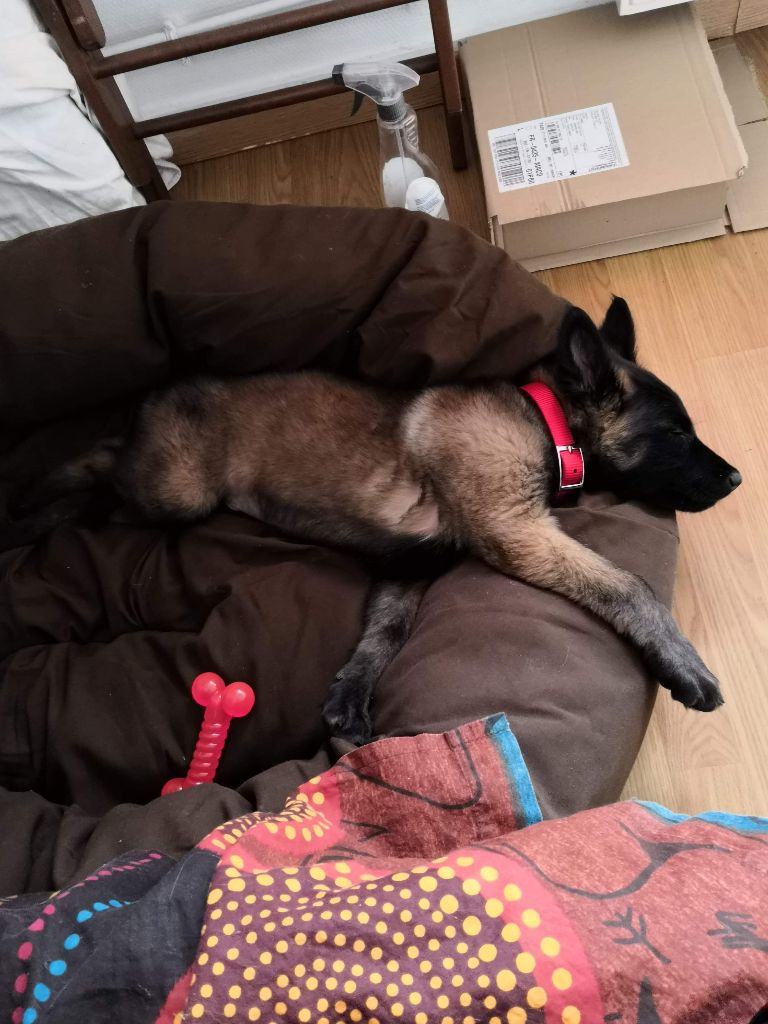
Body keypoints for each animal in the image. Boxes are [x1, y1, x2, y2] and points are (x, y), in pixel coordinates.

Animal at [5, 297, 741, 743]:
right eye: (676, 434)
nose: (736, 478)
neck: (547, 425)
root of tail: (155, 397)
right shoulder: (518, 532)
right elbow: (629, 586)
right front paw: (684, 666)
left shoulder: (409, 560)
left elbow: (387, 632)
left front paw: (350, 696)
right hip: (175, 490)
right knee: (102, 462)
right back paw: (36, 507)